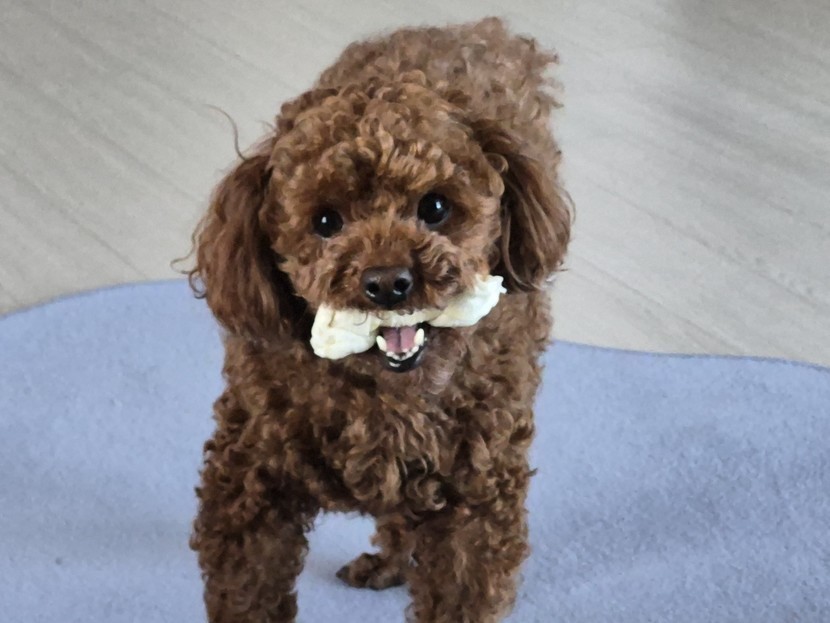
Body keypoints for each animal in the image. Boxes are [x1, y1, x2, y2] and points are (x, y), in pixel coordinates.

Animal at [188, 16, 571, 623]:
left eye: (435, 207)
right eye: (325, 221)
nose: (389, 282)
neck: (384, 401)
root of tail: (467, 27)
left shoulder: (476, 504)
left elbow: (458, 587)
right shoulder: (247, 484)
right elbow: (249, 589)